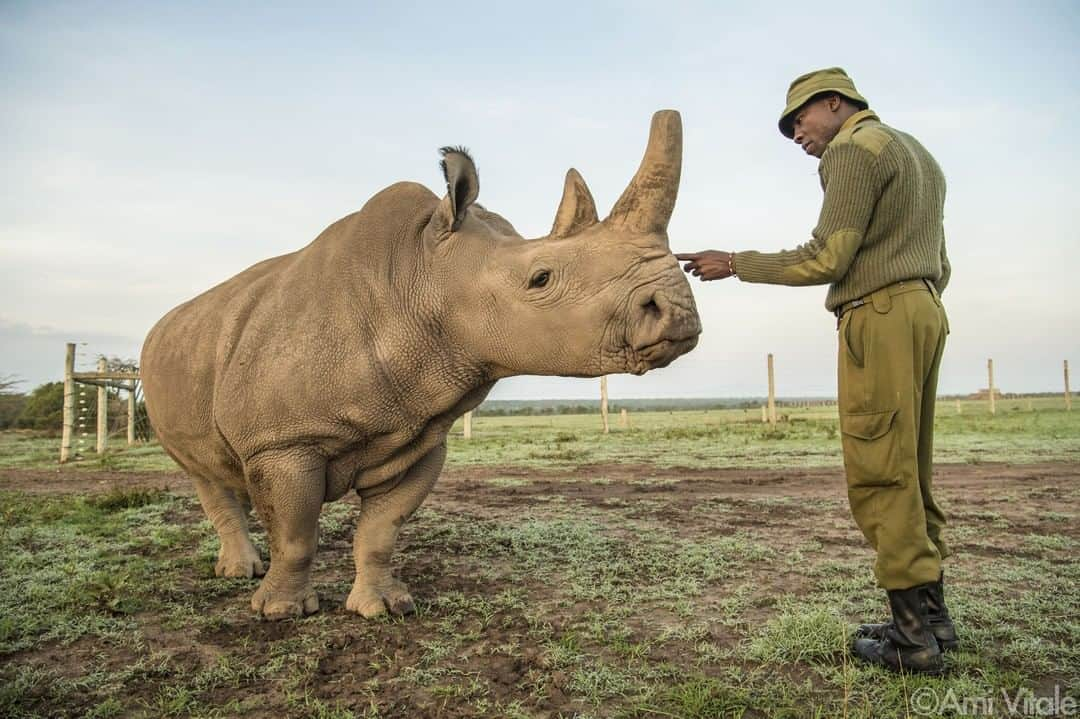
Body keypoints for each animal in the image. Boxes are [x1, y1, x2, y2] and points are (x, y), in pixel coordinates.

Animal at [141, 109, 699, 617]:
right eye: (541, 279)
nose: (678, 313)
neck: (422, 272)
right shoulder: (281, 441)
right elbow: (295, 535)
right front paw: (280, 612)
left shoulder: (416, 435)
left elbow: (380, 531)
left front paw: (386, 608)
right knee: (203, 473)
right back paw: (241, 573)